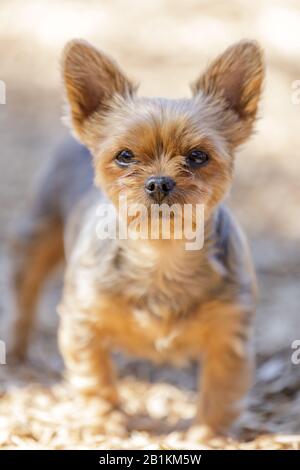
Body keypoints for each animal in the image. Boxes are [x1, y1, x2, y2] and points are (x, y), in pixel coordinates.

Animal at [9, 38, 262, 438]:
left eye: (198, 156)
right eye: (125, 156)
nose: (159, 183)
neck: (161, 255)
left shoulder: (231, 333)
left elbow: (221, 389)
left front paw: (206, 435)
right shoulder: (82, 323)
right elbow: (96, 378)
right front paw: (107, 422)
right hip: (37, 235)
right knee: (25, 296)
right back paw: (16, 351)